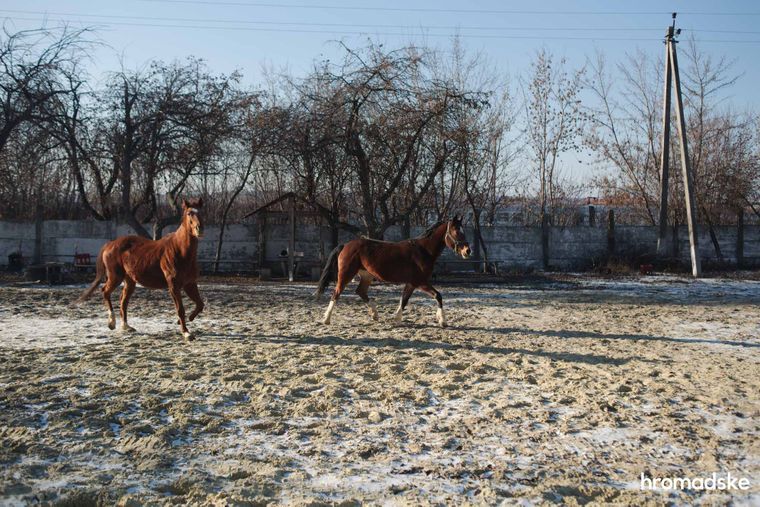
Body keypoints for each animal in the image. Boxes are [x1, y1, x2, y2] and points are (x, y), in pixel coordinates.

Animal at [76, 199, 205, 342]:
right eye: (189, 213)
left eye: (202, 211)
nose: (199, 229)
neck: (180, 250)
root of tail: (110, 244)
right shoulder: (173, 285)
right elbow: (180, 309)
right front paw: (186, 333)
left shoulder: (189, 284)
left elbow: (200, 304)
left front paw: (186, 320)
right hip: (115, 277)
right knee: (105, 291)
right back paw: (111, 323)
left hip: (130, 281)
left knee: (123, 301)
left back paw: (126, 327)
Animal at [314, 216, 470, 328]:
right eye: (457, 231)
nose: (467, 251)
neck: (423, 250)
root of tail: (346, 245)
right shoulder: (420, 282)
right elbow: (438, 296)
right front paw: (443, 321)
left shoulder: (411, 283)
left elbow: (404, 300)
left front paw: (396, 318)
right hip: (346, 274)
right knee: (336, 293)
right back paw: (326, 319)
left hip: (366, 275)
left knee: (360, 291)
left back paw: (375, 315)